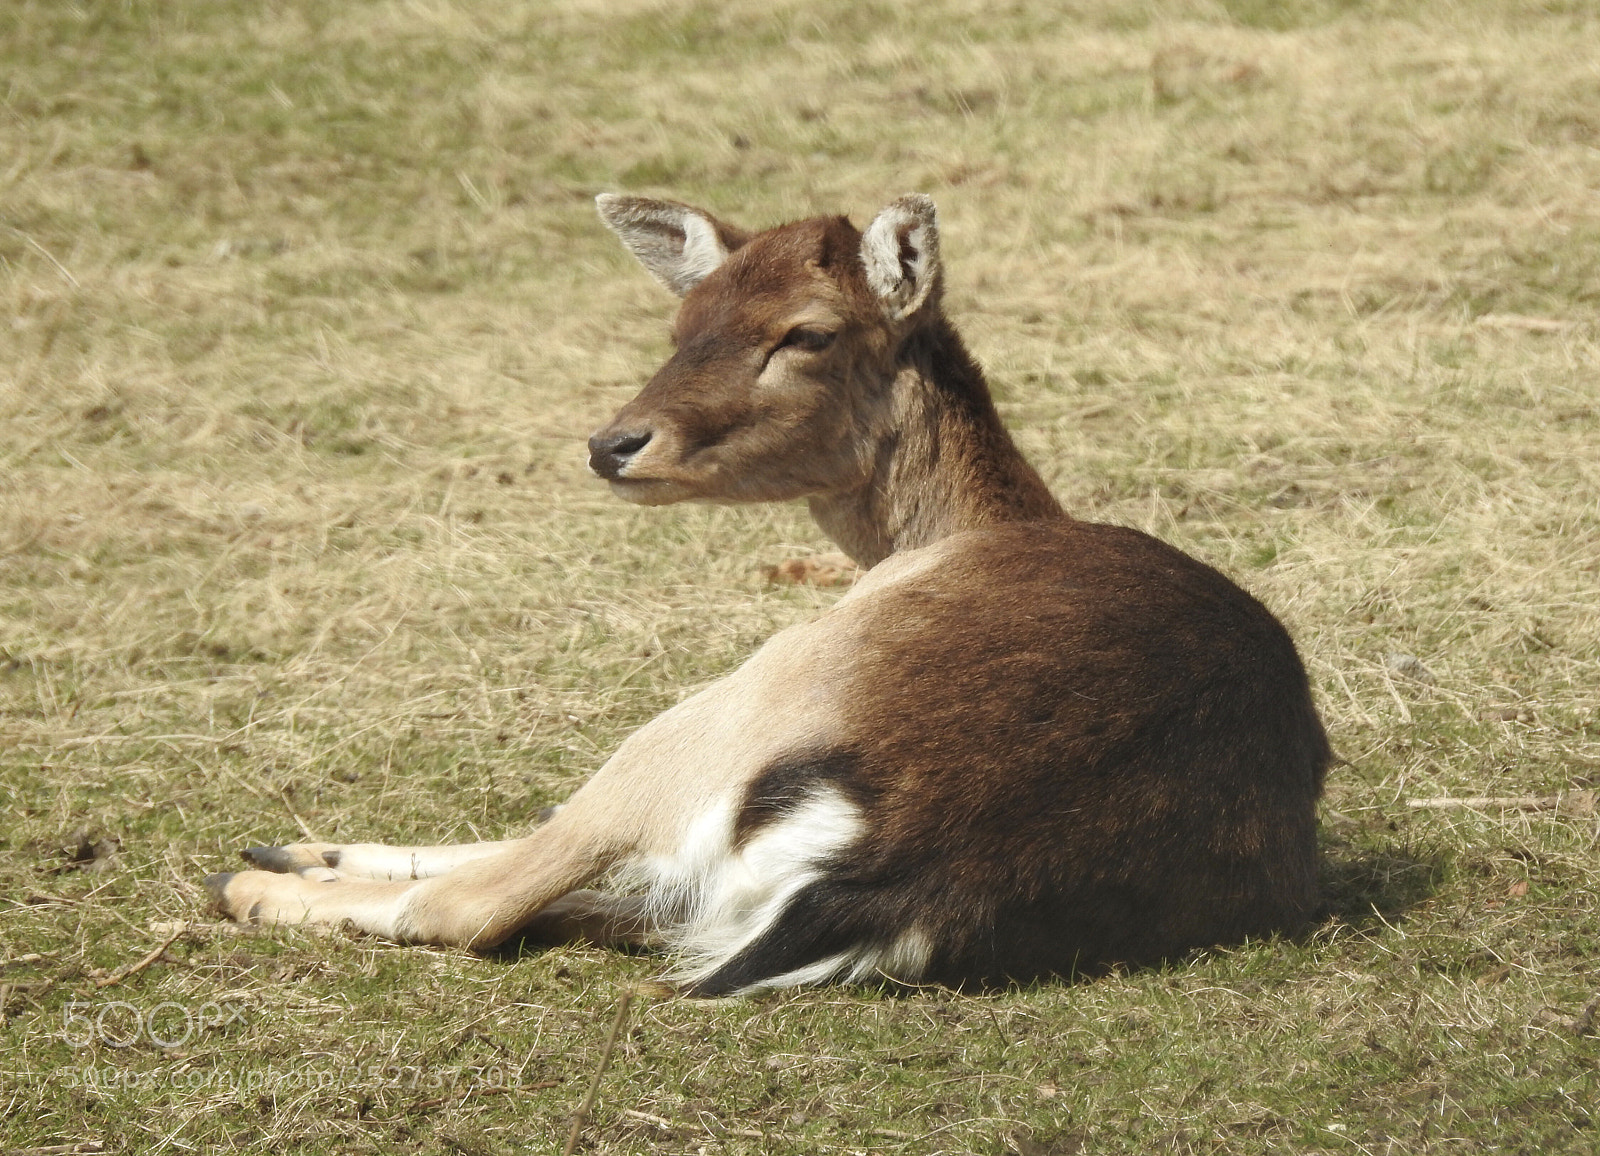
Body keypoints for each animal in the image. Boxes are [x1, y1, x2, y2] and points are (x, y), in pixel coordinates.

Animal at [205, 194, 1329, 995]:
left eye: (807, 333)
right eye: (682, 318)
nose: (614, 443)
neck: (985, 521)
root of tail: (901, 857)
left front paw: (272, 859)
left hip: (746, 690)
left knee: (496, 894)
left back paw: (249, 880)